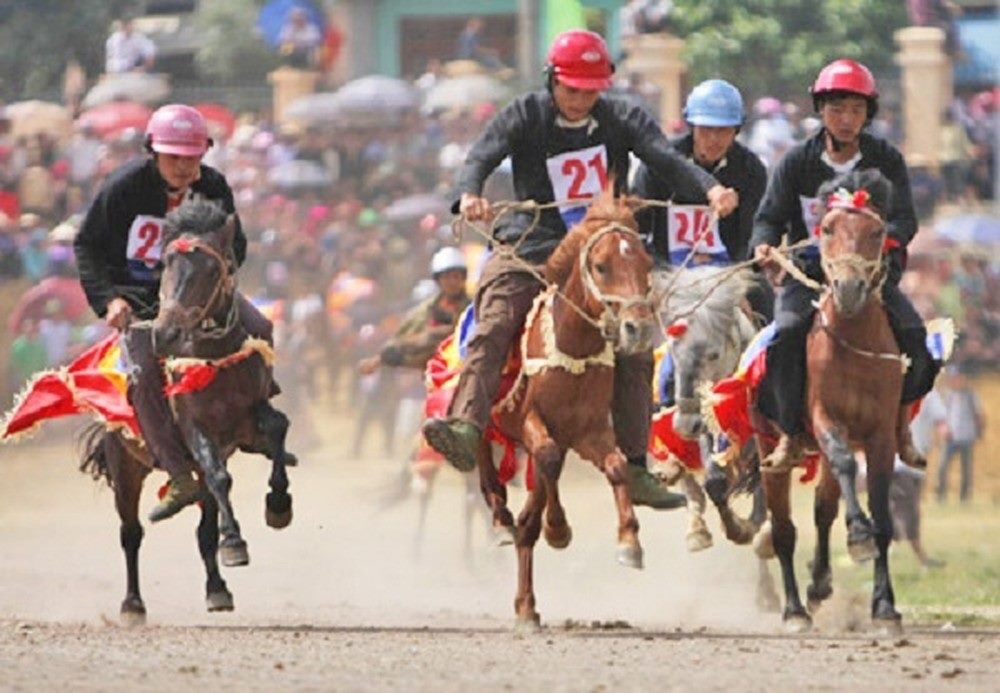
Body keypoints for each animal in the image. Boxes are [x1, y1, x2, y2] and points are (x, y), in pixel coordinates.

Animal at [79, 199, 292, 620]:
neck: (214, 357)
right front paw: (235, 543)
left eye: (213, 268)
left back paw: (217, 589)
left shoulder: (250, 422)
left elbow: (278, 428)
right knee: (131, 532)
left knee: (204, 527)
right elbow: (220, 477)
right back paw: (132, 604)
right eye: (165, 264)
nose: (167, 334)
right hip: (126, 465)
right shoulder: (196, 429)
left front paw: (278, 505)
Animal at [474, 195, 656, 628]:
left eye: (646, 263)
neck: (572, 350)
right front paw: (557, 528)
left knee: (529, 514)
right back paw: (501, 515)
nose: (638, 328)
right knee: (482, 455)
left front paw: (630, 542)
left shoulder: (588, 432)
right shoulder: (532, 422)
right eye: (601, 265)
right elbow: (548, 458)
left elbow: (616, 466)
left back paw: (526, 604)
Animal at [756, 169, 908, 632]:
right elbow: (844, 465)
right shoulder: (826, 419)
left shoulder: (880, 435)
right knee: (784, 530)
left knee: (823, 509)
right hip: (769, 449)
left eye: (877, 232)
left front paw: (885, 607)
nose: (849, 288)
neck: (853, 343)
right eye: (826, 228)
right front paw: (857, 534)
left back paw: (819, 583)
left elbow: (883, 520)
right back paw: (793, 609)